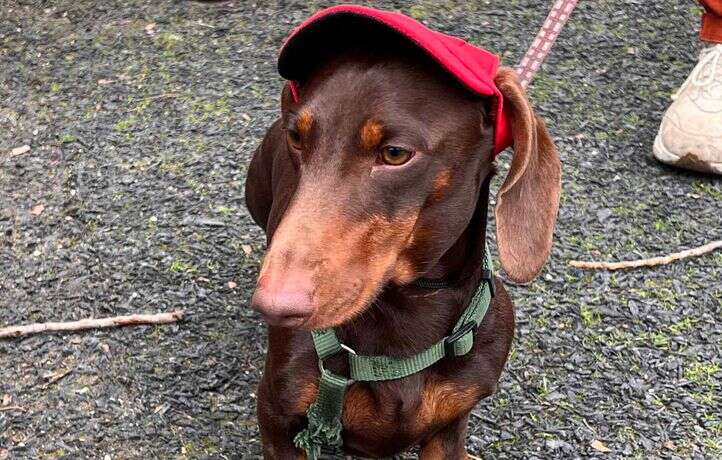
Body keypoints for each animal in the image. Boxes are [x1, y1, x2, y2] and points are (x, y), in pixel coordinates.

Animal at [245, 4, 560, 460]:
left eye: (394, 154)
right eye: (297, 138)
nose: (272, 306)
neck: (407, 309)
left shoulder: (448, 427)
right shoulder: (276, 416)